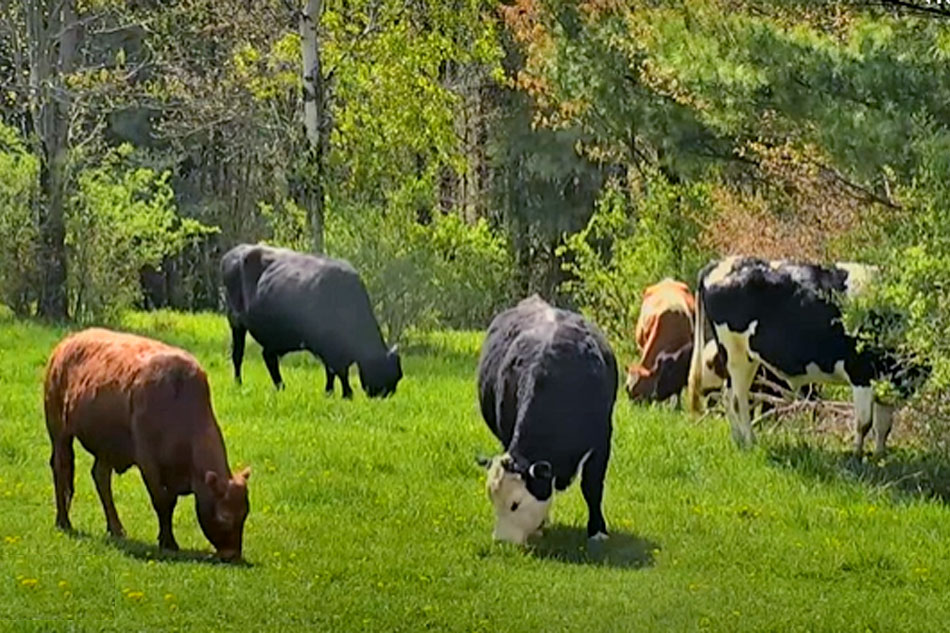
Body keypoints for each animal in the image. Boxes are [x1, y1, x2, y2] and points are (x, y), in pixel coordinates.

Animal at [43, 328, 253, 560]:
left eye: (244, 513)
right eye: (224, 516)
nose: (233, 554)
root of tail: (66, 343)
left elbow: (169, 501)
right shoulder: (148, 463)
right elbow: (162, 501)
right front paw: (168, 541)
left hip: (107, 446)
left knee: (101, 477)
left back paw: (116, 528)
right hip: (60, 433)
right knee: (61, 468)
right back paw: (64, 522)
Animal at [222, 243, 402, 398]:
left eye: (398, 376)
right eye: (383, 371)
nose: (386, 394)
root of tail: (232, 254)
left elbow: (332, 373)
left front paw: (330, 392)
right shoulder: (328, 350)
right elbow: (337, 371)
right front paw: (346, 394)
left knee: (268, 358)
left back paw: (281, 386)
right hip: (236, 324)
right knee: (238, 355)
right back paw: (238, 383)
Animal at [476, 296, 616, 544]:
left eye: (515, 504)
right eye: (493, 500)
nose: (501, 541)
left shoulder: (602, 440)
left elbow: (592, 487)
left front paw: (597, 531)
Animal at [688, 256, 924, 454]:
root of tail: (721, 263)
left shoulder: (887, 383)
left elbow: (883, 425)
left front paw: (879, 456)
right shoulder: (860, 373)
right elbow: (864, 423)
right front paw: (857, 457)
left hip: (741, 358)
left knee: (728, 397)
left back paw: (739, 441)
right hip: (736, 355)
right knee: (738, 400)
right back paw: (751, 443)